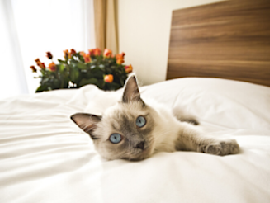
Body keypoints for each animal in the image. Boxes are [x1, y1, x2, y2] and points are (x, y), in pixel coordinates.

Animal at [70, 75, 239, 161]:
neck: (162, 148)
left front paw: (228, 147)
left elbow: (199, 137)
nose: (140, 144)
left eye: (140, 122)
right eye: (116, 138)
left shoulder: (177, 130)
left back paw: (193, 119)